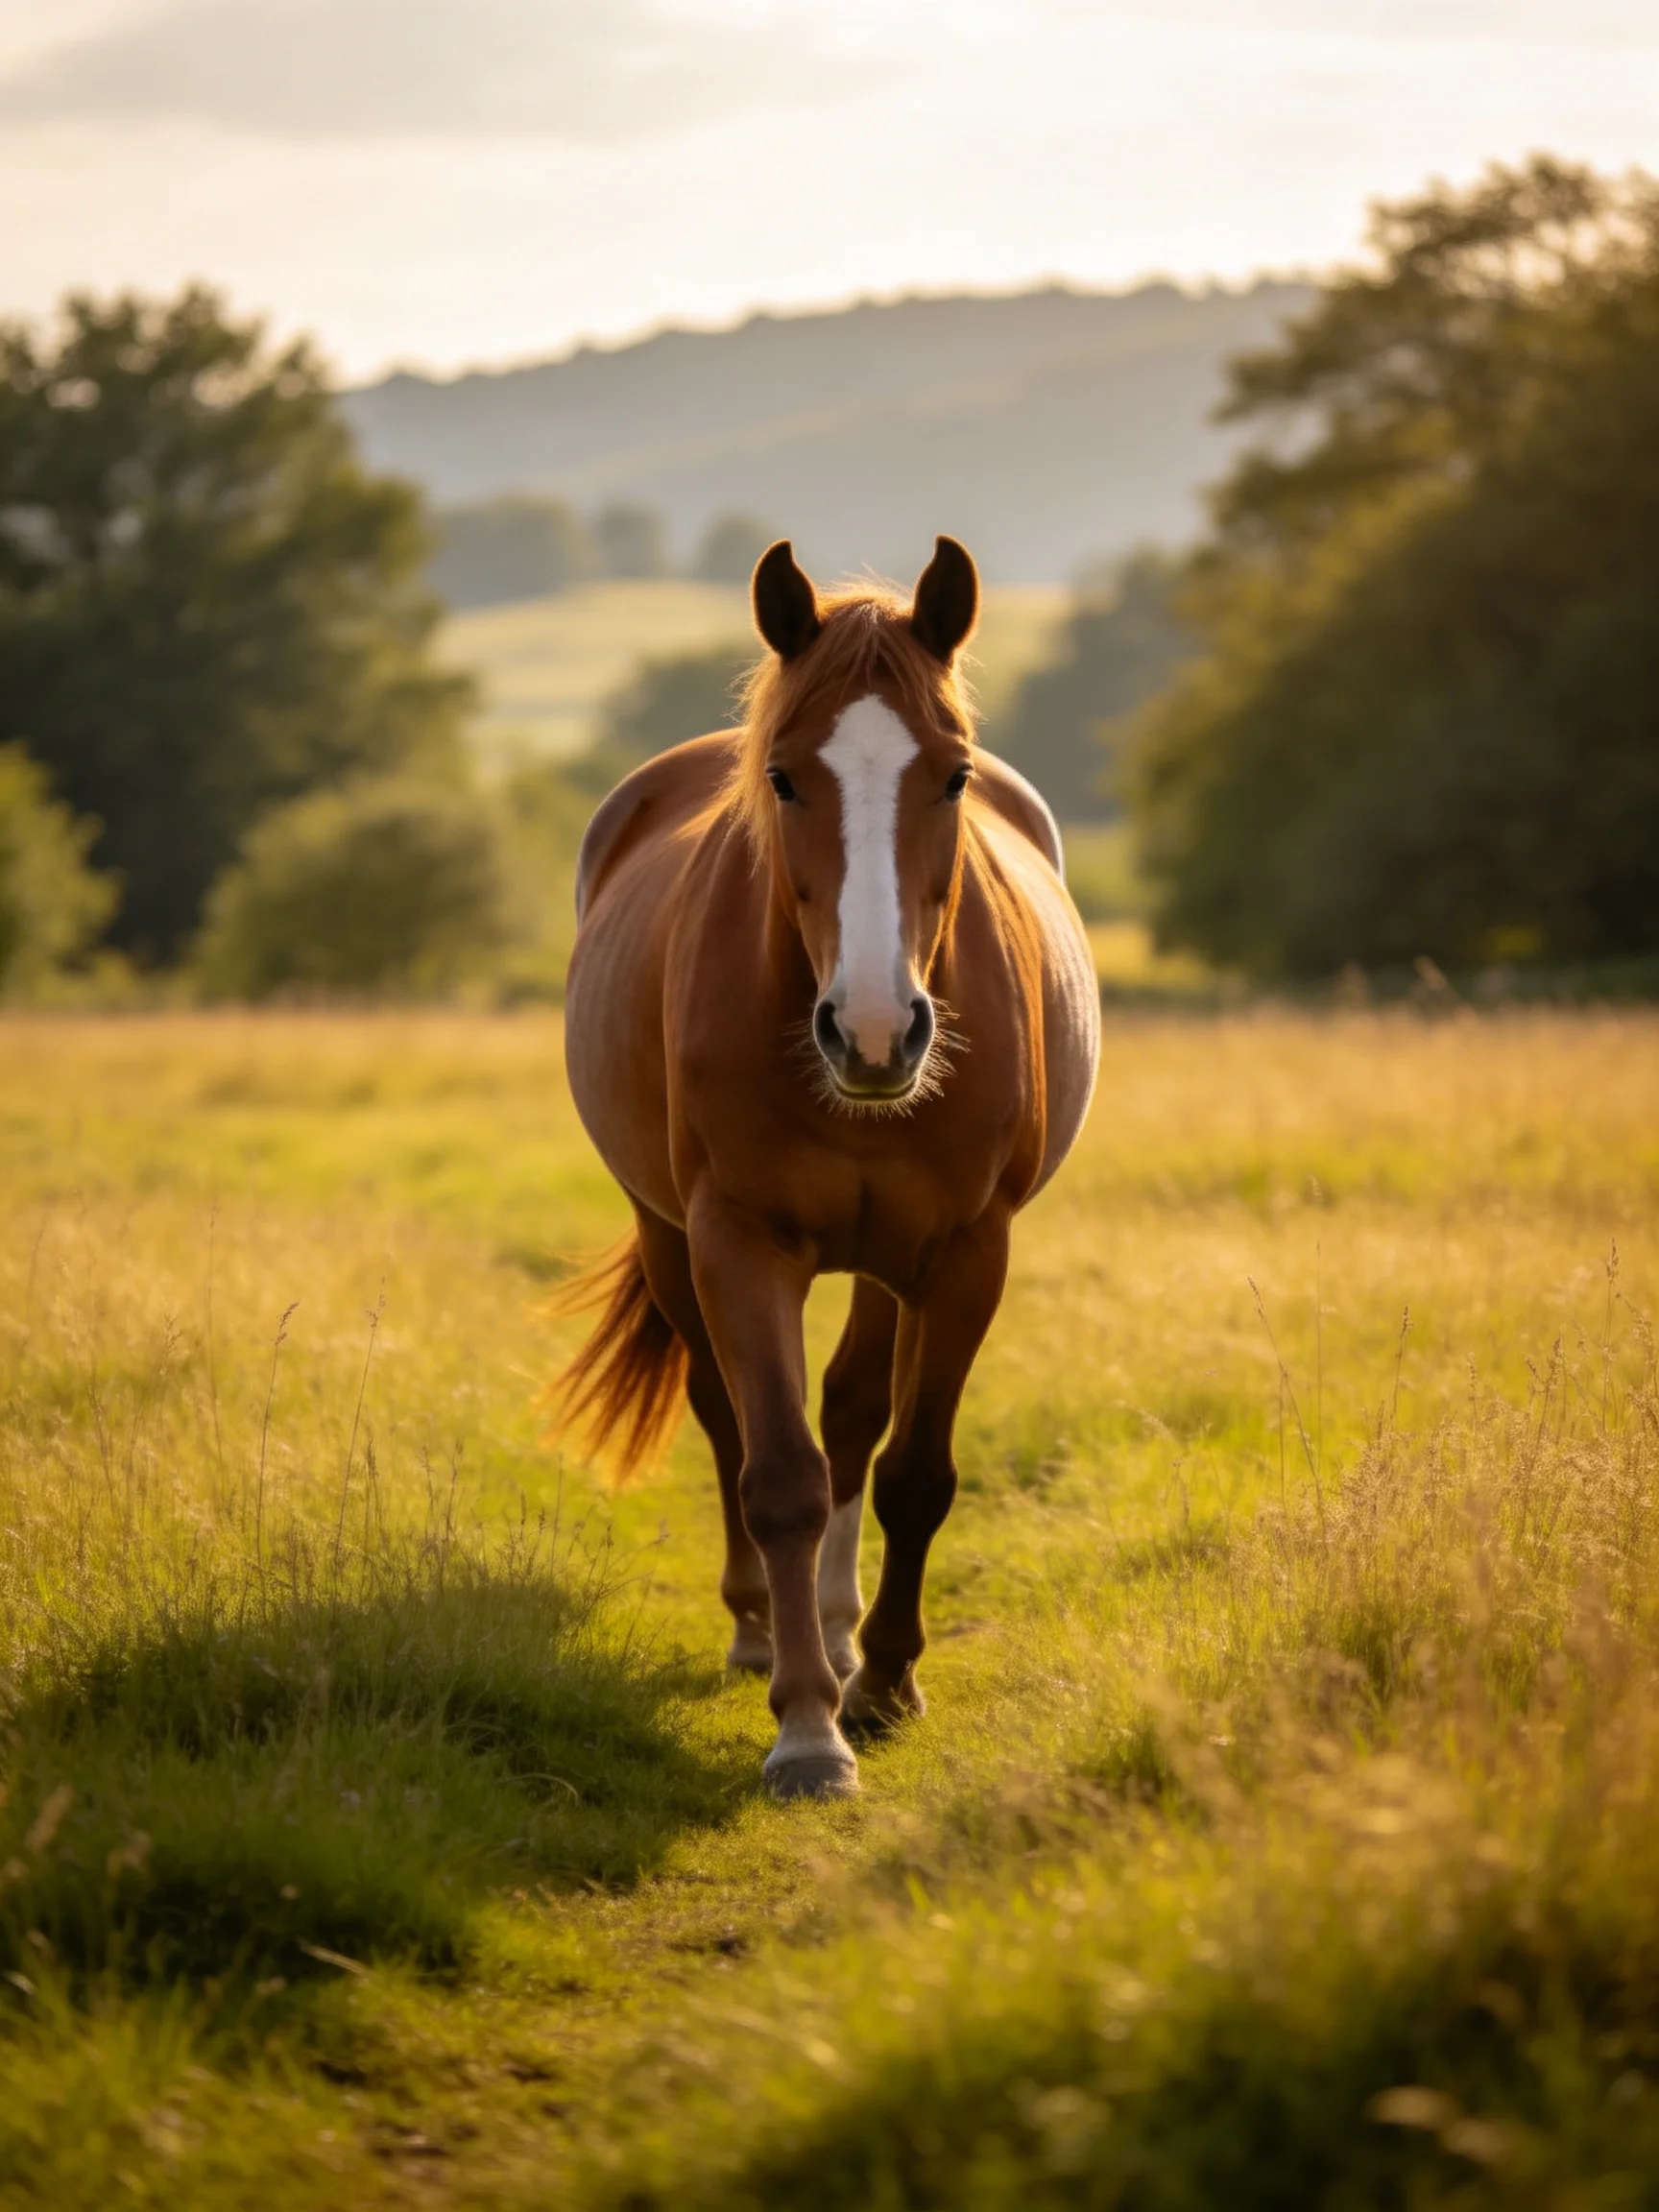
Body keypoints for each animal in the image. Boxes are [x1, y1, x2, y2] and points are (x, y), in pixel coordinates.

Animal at [556, 535, 1099, 1799]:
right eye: (786, 779)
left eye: (951, 776)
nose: (874, 1032)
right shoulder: (737, 1241)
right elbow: (781, 1476)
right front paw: (807, 1726)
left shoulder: (966, 1253)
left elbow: (911, 1471)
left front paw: (886, 1682)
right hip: (671, 1239)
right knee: (727, 1419)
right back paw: (767, 1627)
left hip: (886, 1260)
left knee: (856, 1415)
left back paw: (848, 1637)